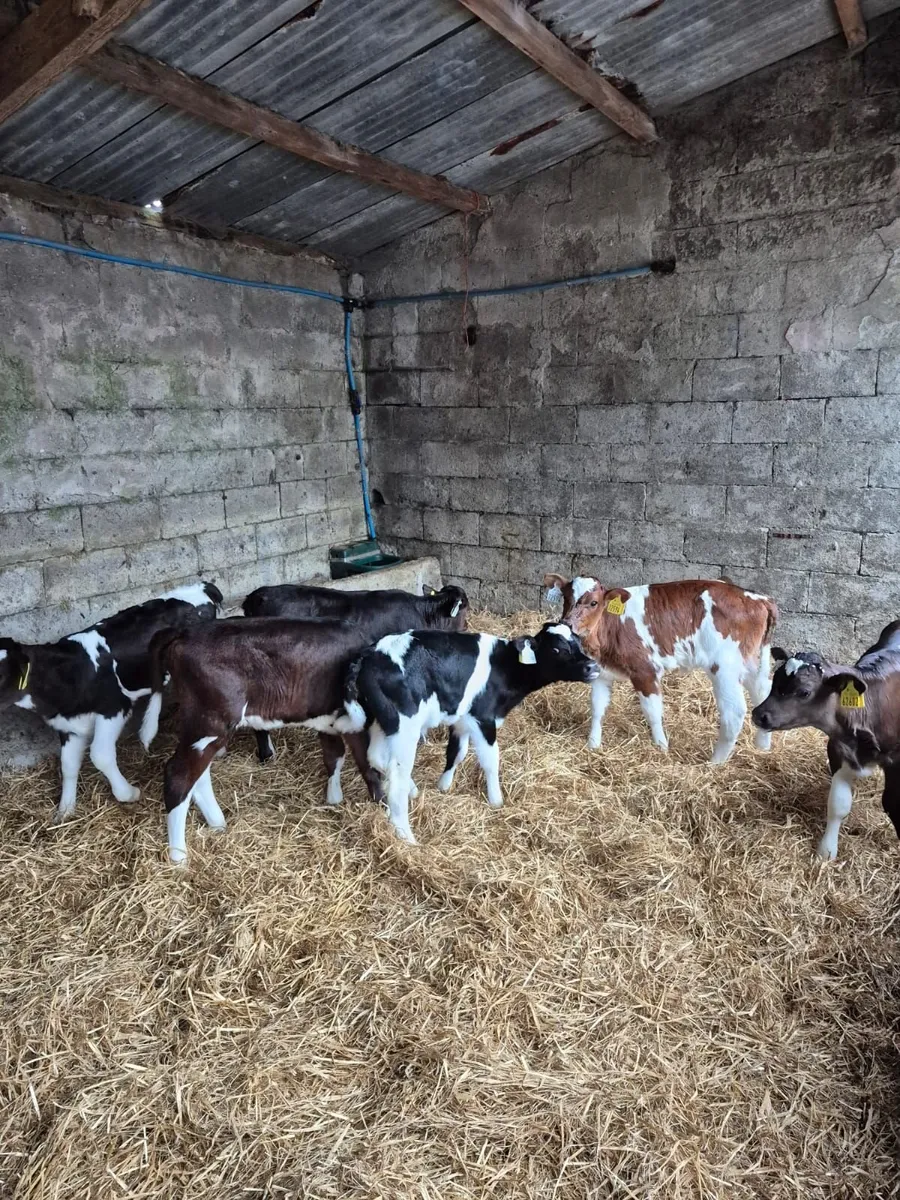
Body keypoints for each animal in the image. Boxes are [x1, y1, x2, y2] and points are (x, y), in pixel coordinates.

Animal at [0, 582, 221, 822]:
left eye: (1, 674)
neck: (72, 672)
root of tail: (204, 586)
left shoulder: (113, 709)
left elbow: (100, 755)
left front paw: (128, 793)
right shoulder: (69, 726)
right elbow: (68, 765)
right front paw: (65, 810)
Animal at [339, 623, 601, 844]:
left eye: (578, 643)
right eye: (557, 648)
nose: (593, 667)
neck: (506, 668)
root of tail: (370, 654)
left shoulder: (462, 719)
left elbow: (457, 752)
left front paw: (444, 786)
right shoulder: (483, 717)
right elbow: (490, 760)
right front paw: (496, 800)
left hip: (381, 721)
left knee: (376, 757)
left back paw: (413, 792)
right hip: (405, 725)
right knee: (396, 778)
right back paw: (407, 837)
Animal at [544, 574, 778, 763]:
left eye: (594, 602)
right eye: (565, 598)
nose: (567, 623)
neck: (608, 628)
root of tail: (760, 599)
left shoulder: (645, 670)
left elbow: (652, 712)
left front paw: (661, 747)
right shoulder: (602, 672)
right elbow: (597, 707)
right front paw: (593, 744)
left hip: (725, 666)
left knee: (734, 711)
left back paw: (715, 763)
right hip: (749, 662)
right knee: (762, 692)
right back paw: (762, 748)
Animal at [751, 622, 900, 859]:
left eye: (804, 692)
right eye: (775, 680)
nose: (758, 714)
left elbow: (893, 805)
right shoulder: (838, 748)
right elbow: (838, 803)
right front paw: (827, 851)